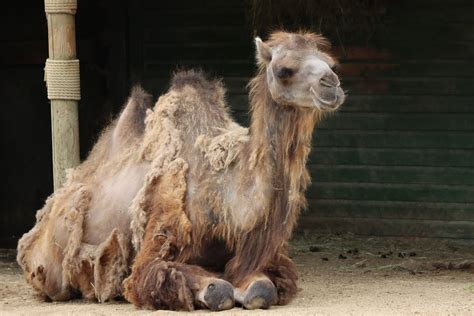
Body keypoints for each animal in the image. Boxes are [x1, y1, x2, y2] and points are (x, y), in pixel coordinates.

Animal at [17, 31, 344, 312]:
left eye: (330, 63)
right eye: (284, 70)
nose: (332, 84)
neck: (225, 196)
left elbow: (261, 289)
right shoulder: (158, 237)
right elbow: (213, 289)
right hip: (51, 263)